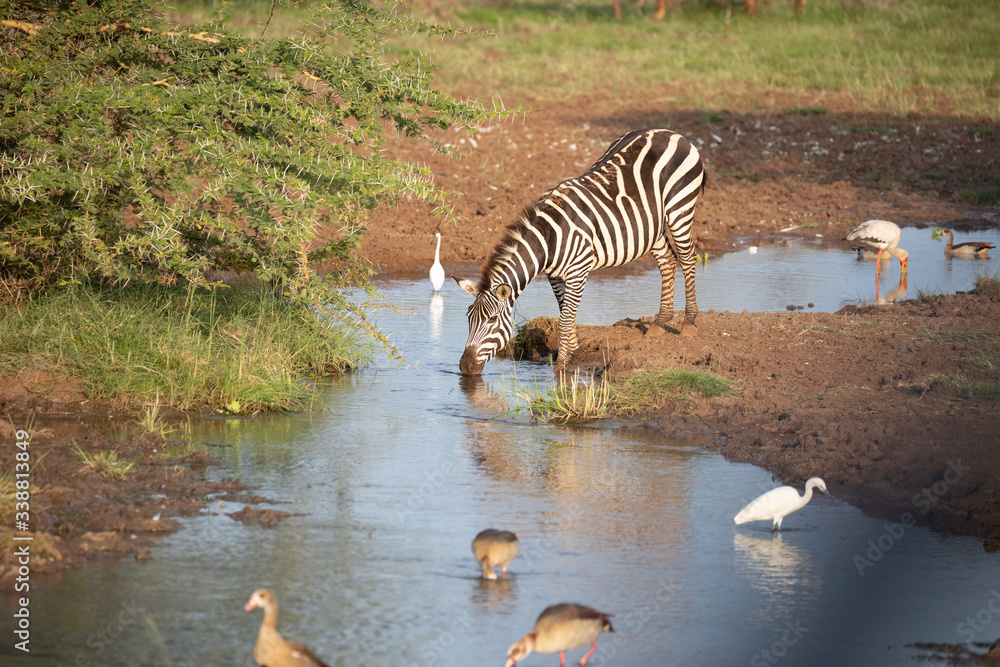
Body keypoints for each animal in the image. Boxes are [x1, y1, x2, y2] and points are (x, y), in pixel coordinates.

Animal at [454, 128, 706, 376]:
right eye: (468, 317)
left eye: (492, 319)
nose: (465, 367)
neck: (549, 238)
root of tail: (669, 132)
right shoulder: (554, 275)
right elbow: (563, 310)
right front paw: (572, 349)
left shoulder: (578, 270)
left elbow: (566, 317)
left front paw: (561, 364)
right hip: (652, 226)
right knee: (667, 261)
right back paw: (660, 322)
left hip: (680, 209)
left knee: (687, 258)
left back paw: (689, 323)